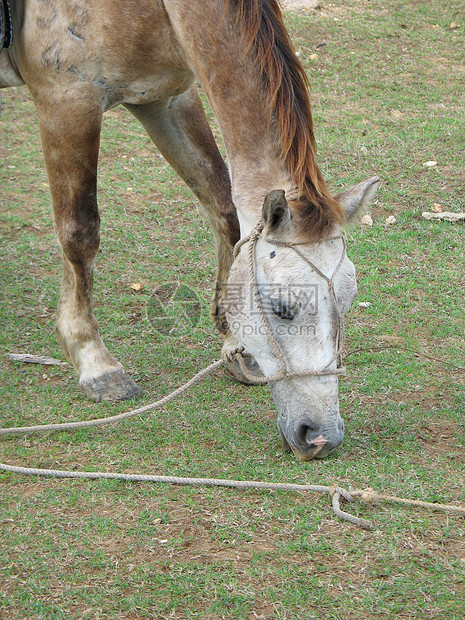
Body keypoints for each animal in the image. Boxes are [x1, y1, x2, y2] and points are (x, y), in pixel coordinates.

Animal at [0, 1, 376, 460]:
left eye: (349, 300)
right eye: (282, 308)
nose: (321, 437)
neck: (152, 11)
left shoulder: (168, 97)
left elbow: (222, 204)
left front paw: (234, 343)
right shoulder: (66, 101)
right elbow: (79, 232)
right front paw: (95, 363)